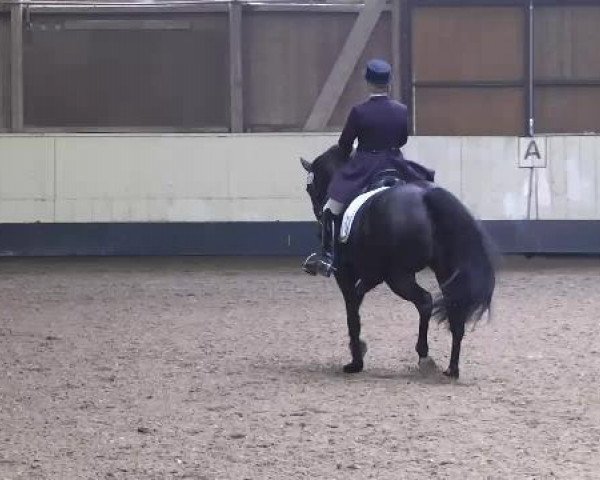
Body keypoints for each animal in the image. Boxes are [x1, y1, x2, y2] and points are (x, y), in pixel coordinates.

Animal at [300, 146, 496, 378]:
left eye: (309, 187)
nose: (318, 218)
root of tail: (426, 196)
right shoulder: (372, 275)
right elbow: (356, 301)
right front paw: (359, 349)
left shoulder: (345, 274)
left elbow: (351, 310)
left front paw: (356, 360)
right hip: (442, 271)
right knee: (455, 306)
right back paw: (452, 368)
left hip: (398, 277)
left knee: (425, 301)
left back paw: (424, 357)